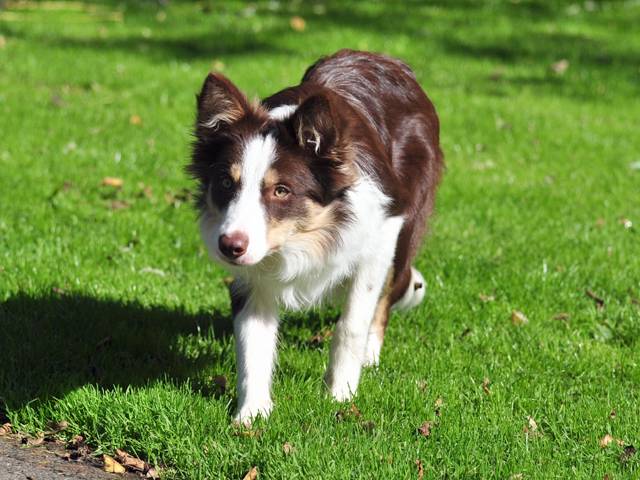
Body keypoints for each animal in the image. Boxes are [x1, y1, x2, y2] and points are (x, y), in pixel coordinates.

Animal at [189, 49, 443, 422]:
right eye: (225, 182)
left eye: (281, 190)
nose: (229, 247)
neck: (304, 237)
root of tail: (382, 57)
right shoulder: (253, 270)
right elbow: (252, 340)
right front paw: (251, 413)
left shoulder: (381, 231)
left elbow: (352, 323)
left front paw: (340, 394)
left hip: (408, 220)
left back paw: (370, 353)